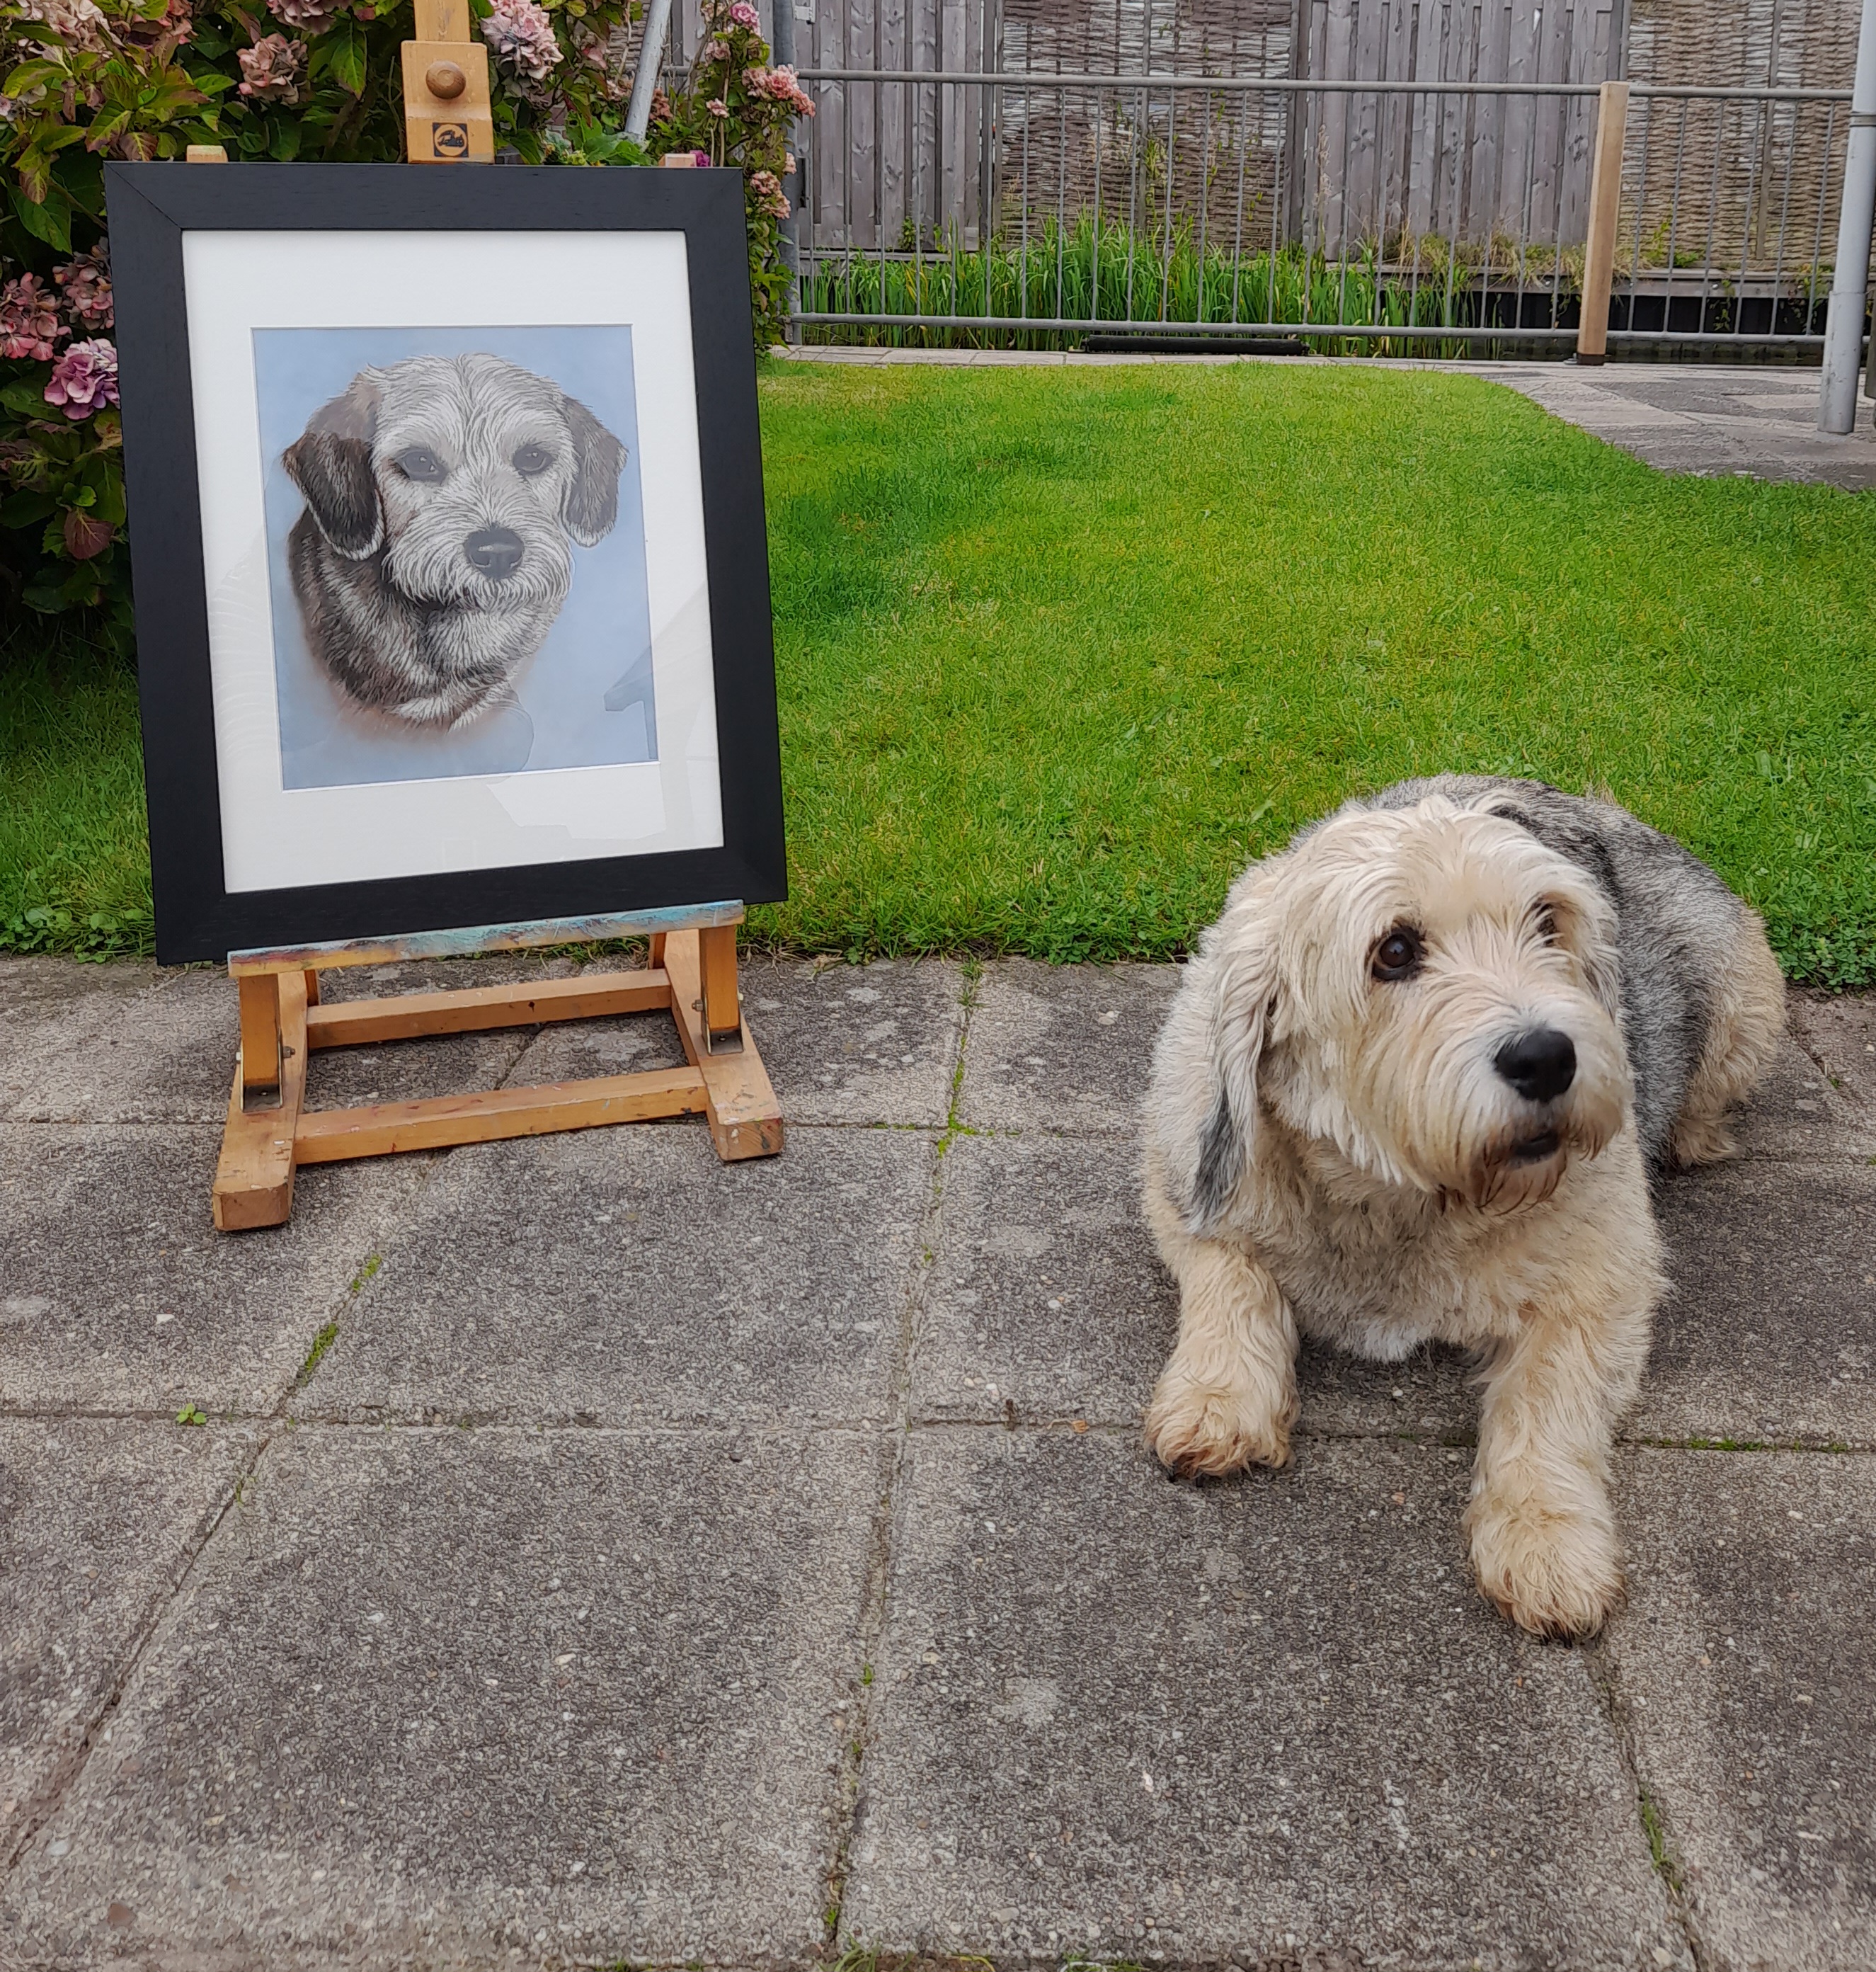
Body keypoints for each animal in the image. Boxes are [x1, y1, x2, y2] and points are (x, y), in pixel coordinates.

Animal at [1143, 777, 1789, 1641]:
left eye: (1548, 920)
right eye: (1394, 950)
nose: (1547, 1057)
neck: (1406, 1196)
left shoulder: (1607, 1274)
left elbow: (1549, 1394)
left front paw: (1546, 1540)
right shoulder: (1177, 1177)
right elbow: (1231, 1275)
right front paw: (1219, 1399)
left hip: (1745, 1008)